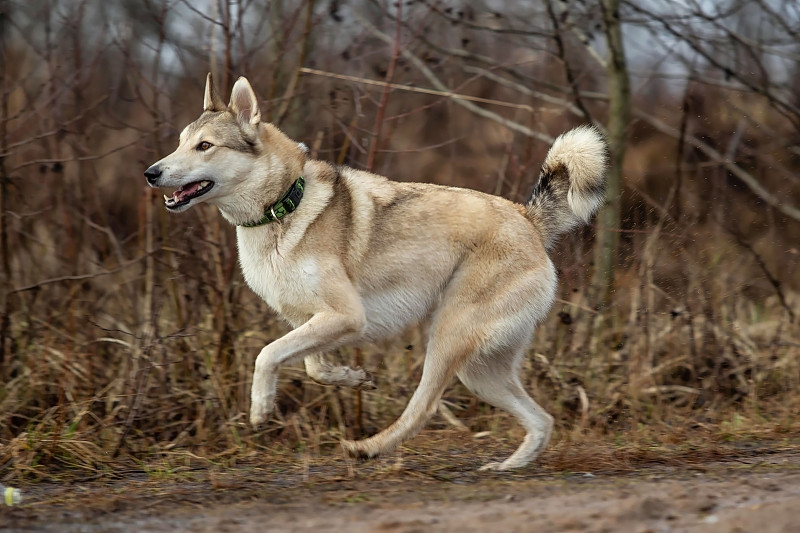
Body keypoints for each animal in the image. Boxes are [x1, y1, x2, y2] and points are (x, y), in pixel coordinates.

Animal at [145, 72, 608, 468]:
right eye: (180, 142)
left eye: (205, 146)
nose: (151, 173)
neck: (282, 208)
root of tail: (528, 219)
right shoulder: (312, 321)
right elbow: (313, 367)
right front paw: (354, 378)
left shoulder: (346, 316)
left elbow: (266, 355)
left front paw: (261, 408)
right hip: (481, 371)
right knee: (542, 421)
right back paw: (508, 467)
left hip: (447, 339)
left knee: (424, 407)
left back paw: (368, 448)